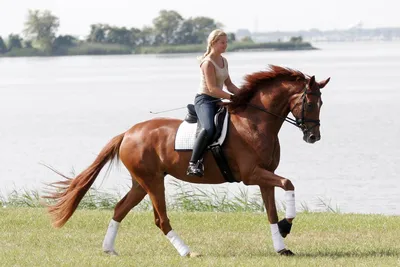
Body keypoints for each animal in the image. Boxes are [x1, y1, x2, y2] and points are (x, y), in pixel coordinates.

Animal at [44, 65, 332, 258]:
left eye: (321, 104)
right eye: (310, 103)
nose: (313, 136)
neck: (256, 123)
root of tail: (128, 133)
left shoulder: (265, 176)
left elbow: (272, 210)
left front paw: (282, 243)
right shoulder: (252, 175)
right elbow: (289, 183)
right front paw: (286, 227)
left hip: (141, 182)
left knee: (119, 209)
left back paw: (109, 249)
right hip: (152, 182)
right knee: (161, 219)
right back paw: (187, 251)